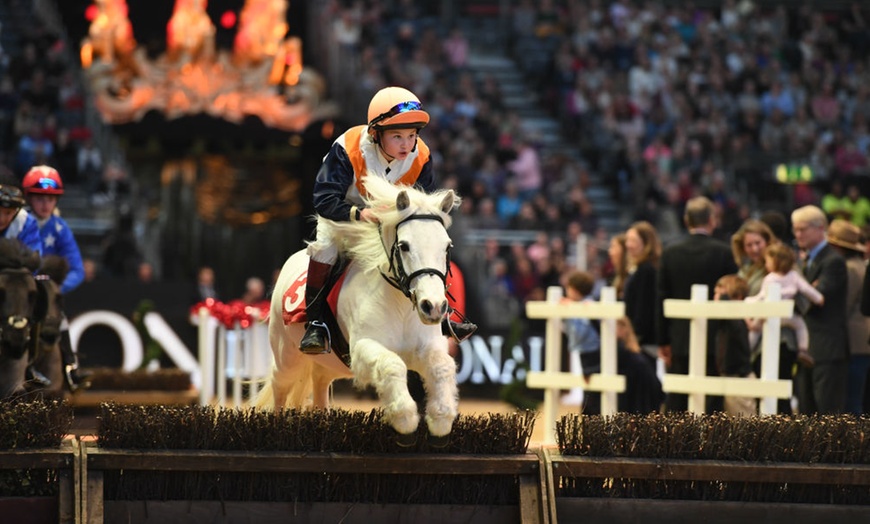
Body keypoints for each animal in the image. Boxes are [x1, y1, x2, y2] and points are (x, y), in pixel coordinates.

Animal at [258, 175, 464, 442]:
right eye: (405, 246)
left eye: (447, 246)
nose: (434, 307)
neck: (399, 303)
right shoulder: (363, 347)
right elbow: (392, 365)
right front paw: (404, 418)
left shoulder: (428, 347)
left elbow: (443, 367)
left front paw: (441, 418)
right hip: (287, 356)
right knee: (279, 385)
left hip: (327, 364)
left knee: (319, 382)